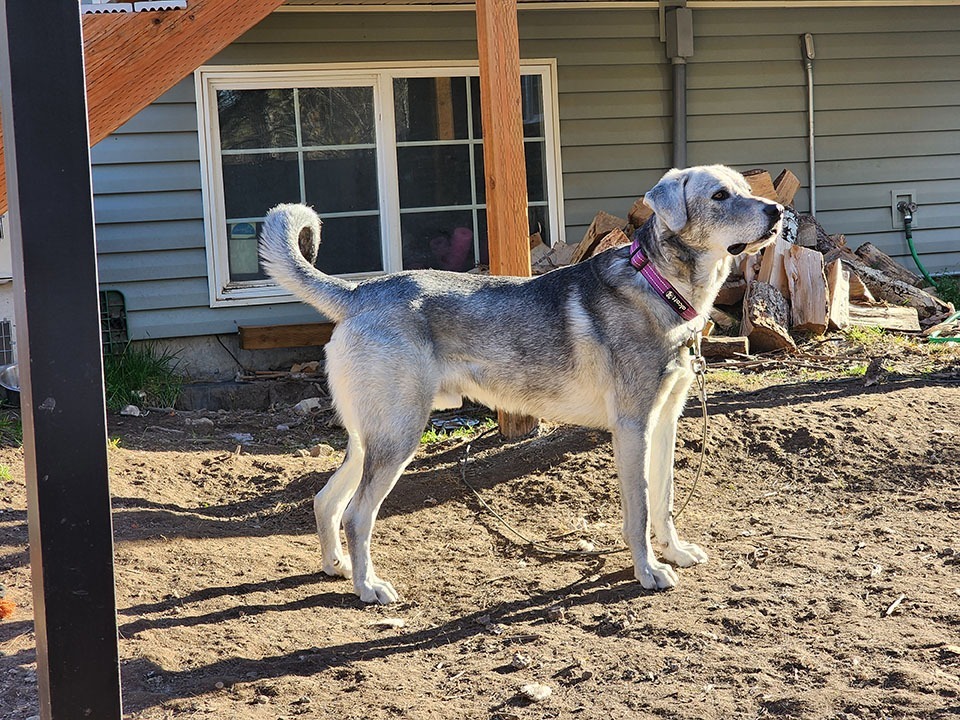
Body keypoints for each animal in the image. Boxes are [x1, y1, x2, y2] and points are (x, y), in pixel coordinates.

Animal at [260, 163, 780, 600]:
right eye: (719, 195)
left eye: (748, 188)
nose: (776, 211)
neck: (659, 285)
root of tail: (359, 292)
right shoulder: (634, 428)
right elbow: (640, 512)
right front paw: (648, 571)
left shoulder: (666, 422)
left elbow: (665, 500)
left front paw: (674, 553)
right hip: (399, 437)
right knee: (356, 514)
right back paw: (368, 587)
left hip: (370, 439)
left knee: (325, 501)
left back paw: (337, 567)